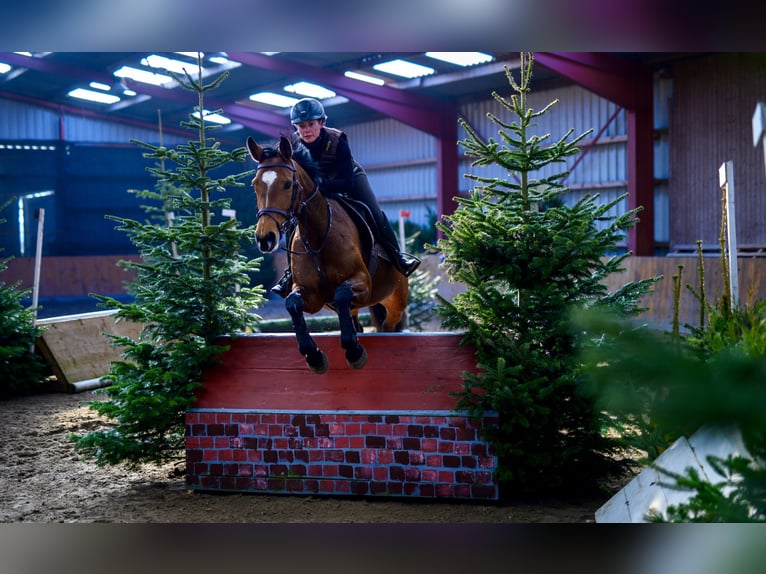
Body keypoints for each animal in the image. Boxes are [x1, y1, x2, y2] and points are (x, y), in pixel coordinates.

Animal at [249, 137, 412, 376]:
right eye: (255, 184)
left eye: (287, 184)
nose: (265, 238)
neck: (318, 237)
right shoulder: (311, 295)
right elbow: (292, 304)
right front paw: (314, 356)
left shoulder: (363, 283)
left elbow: (342, 293)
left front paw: (354, 352)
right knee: (356, 320)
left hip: (396, 300)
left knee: (388, 326)